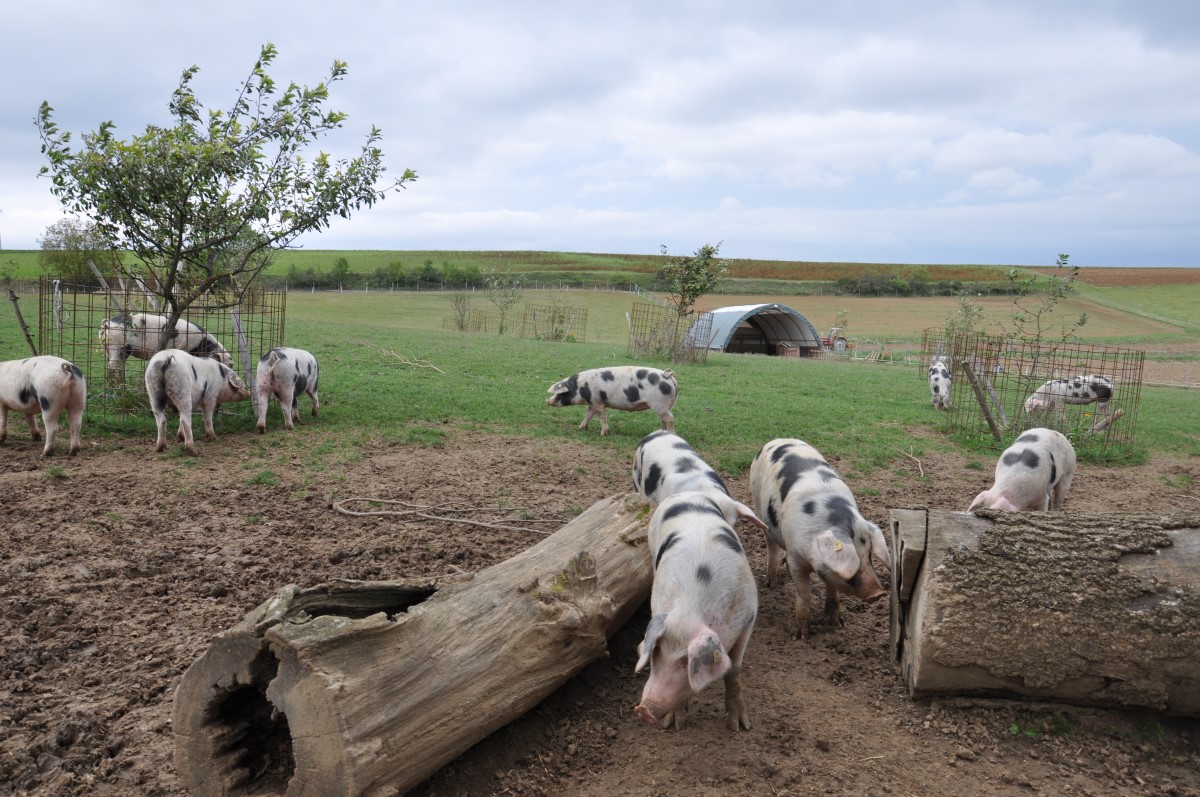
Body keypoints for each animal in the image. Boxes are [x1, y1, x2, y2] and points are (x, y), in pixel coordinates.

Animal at [98, 312, 231, 384]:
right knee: (112, 365)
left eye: (231, 365)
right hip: (117, 345)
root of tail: (107, 323)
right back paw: (112, 385)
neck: (202, 344)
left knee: (117, 365)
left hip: (109, 348)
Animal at [544, 364, 676, 436]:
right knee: (664, 419)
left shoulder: (598, 402)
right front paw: (580, 428)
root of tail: (667, 376)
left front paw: (603, 434)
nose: (548, 401)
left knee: (670, 418)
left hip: (659, 403)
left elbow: (602, 417)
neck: (580, 387)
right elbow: (588, 415)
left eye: (561, 393)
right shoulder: (592, 403)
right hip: (667, 405)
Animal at [638, 492, 758, 734]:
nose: (643, 709)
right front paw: (674, 725)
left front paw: (739, 727)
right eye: (656, 652)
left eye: (686, 661)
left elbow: (734, 670)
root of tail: (689, 492)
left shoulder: (748, 618)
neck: (691, 607)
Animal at [748, 439, 892, 638]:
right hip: (759, 508)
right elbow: (804, 594)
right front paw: (800, 636)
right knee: (771, 546)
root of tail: (778, 439)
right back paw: (770, 582)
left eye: (869, 554)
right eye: (854, 556)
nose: (878, 593)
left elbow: (833, 592)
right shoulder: (796, 559)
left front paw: (838, 624)